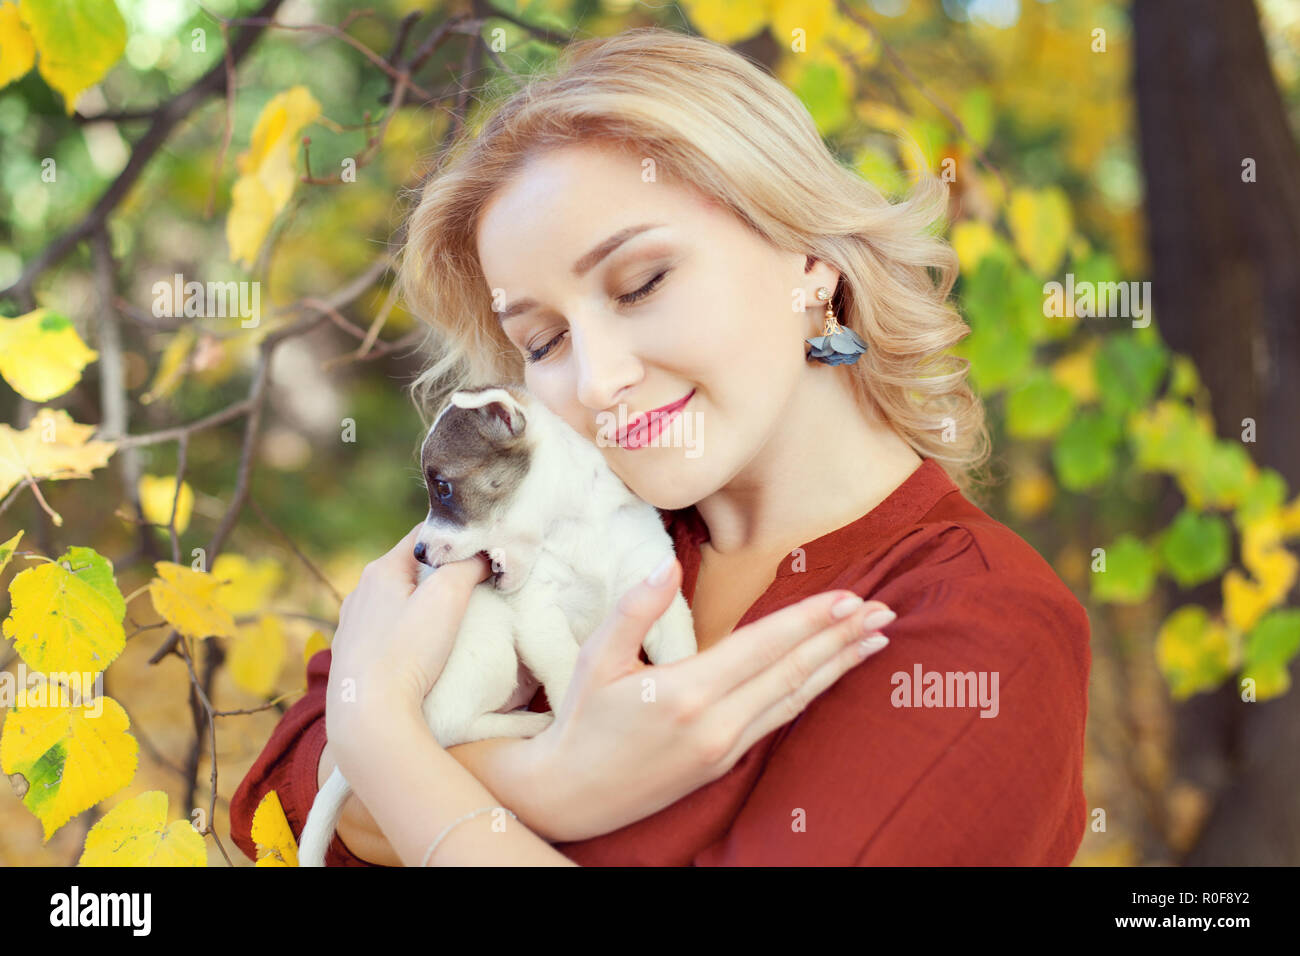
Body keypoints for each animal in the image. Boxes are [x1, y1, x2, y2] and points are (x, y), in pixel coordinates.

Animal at [297, 382, 696, 868]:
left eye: (443, 487)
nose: (419, 553)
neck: (577, 526)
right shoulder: (540, 615)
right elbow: (568, 673)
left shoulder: (655, 588)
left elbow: (680, 654)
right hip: (491, 652)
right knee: (445, 724)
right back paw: (528, 726)